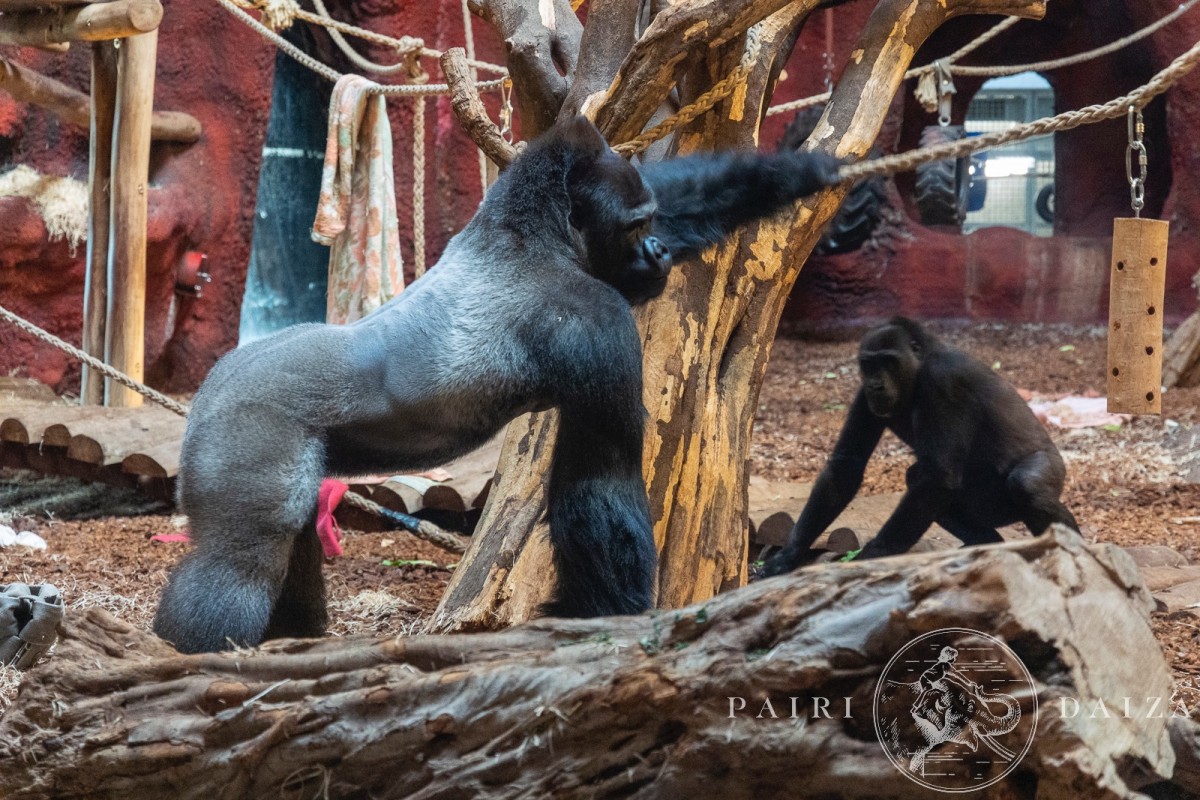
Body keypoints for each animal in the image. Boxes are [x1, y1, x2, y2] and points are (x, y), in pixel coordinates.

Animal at [153, 115, 843, 653]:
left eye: (649, 223)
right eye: (630, 227)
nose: (657, 254)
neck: (528, 232)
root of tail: (210, 387)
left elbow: (684, 193)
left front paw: (811, 168)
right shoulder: (596, 321)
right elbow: (602, 480)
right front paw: (614, 621)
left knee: (285, 544)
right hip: (249, 426)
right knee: (238, 560)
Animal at [756, 317, 1079, 577]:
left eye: (889, 361)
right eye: (869, 364)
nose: (876, 384)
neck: (919, 365)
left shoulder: (943, 382)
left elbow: (937, 478)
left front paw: (868, 559)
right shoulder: (864, 393)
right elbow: (846, 467)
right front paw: (788, 556)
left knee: (1027, 484)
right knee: (919, 479)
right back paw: (986, 544)